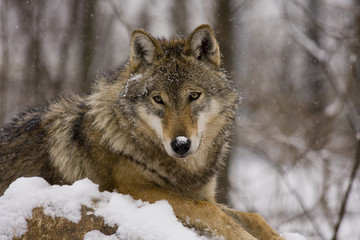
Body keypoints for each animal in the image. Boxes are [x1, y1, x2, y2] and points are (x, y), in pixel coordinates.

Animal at [0, 24, 284, 240]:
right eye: (158, 99)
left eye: (194, 95)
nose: (181, 144)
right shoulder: (136, 191)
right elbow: (210, 212)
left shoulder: (203, 194)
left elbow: (254, 217)